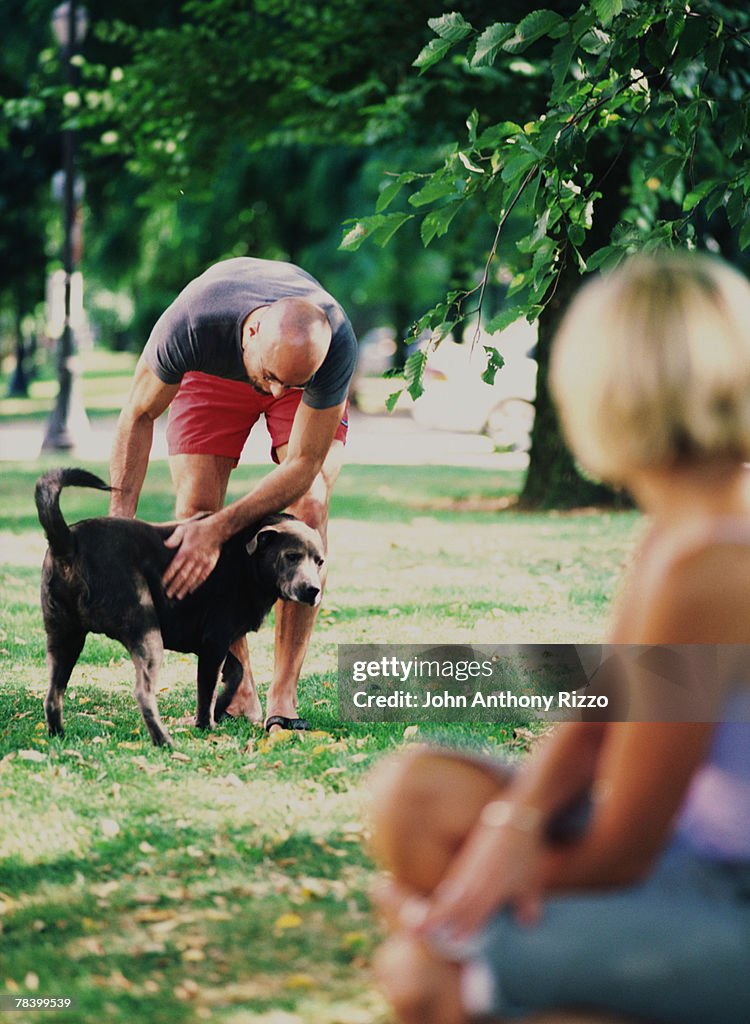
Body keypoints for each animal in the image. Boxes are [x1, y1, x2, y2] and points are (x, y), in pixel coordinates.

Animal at [35, 468, 323, 745]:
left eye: (319, 561)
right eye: (292, 556)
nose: (313, 590)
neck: (247, 560)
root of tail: (68, 540)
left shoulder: (210, 644)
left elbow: (235, 672)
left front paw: (221, 707)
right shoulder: (214, 642)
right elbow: (206, 691)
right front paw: (206, 726)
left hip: (65, 638)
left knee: (52, 696)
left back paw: (59, 736)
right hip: (146, 633)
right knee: (142, 693)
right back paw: (165, 741)